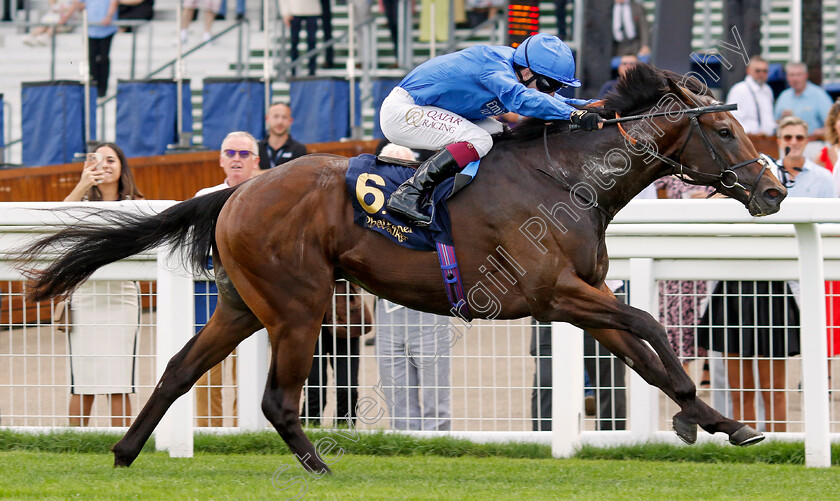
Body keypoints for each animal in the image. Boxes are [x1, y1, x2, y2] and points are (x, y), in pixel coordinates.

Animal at [16, 64, 784, 470]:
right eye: (724, 129)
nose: (773, 189)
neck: (565, 178)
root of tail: (238, 188)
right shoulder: (554, 294)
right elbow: (650, 324)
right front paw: (703, 416)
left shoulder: (580, 294)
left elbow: (645, 355)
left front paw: (717, 421)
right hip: (299, 306)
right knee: (276, 398)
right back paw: (319, 465)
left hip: (241, 303)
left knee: (178, 368)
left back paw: (125, 452)